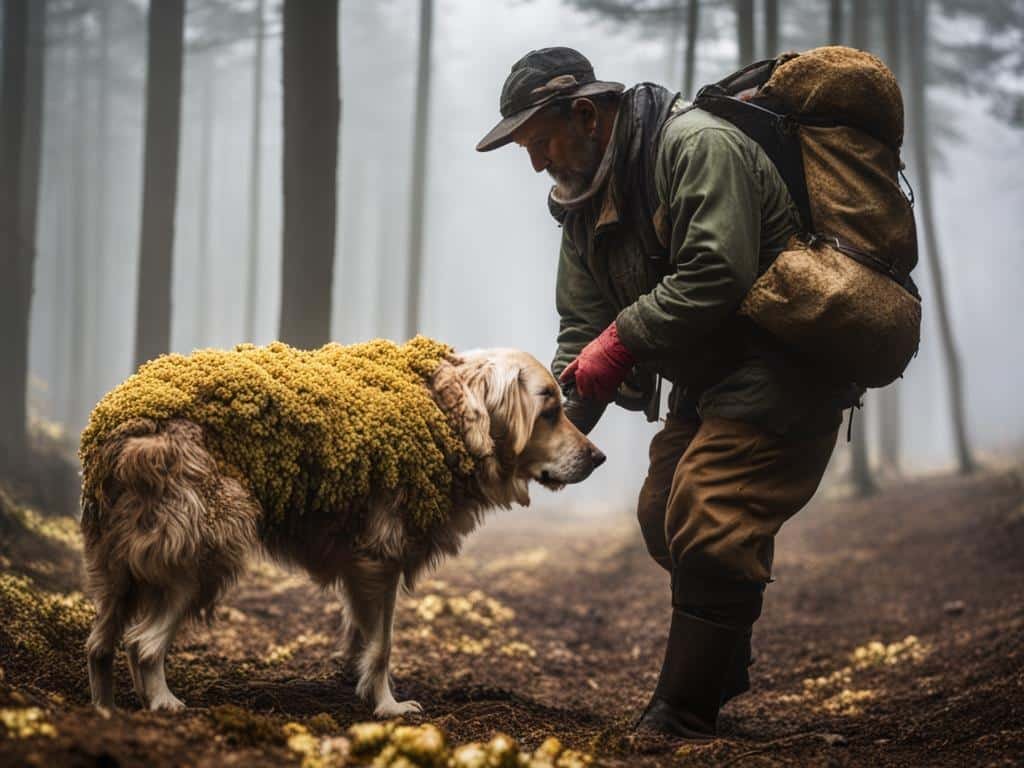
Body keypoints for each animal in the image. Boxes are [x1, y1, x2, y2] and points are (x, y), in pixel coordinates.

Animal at [83, 346, 602, 720]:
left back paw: (107, 712)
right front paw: (388, 706)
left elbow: (363, 638)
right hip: (203, 551)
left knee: (101, 644)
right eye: (549, 410)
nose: (599, 458)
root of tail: (121, 429)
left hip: (119, 567)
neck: (446, 415)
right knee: (143, 644)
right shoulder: (382, 559)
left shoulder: (359, 567)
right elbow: (383, 645)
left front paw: (359, 685)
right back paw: (162, 703)